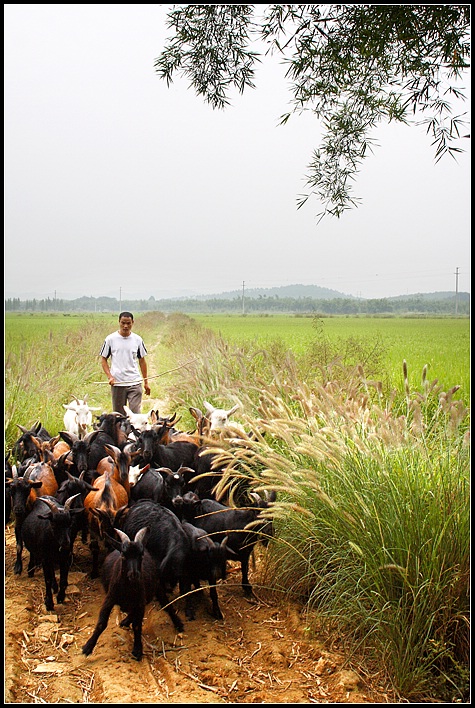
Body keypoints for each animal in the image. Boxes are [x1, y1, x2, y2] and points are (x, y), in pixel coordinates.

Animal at [81, 528, 156, 660]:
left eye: (141, 555)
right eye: (123, 555)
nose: (134, 575)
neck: (128, 590)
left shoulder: (140, 602)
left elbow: (137, 625)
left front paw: (137, 649)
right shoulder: (109, 599)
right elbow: (101, 624)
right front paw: (88, 647)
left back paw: (125, 621)